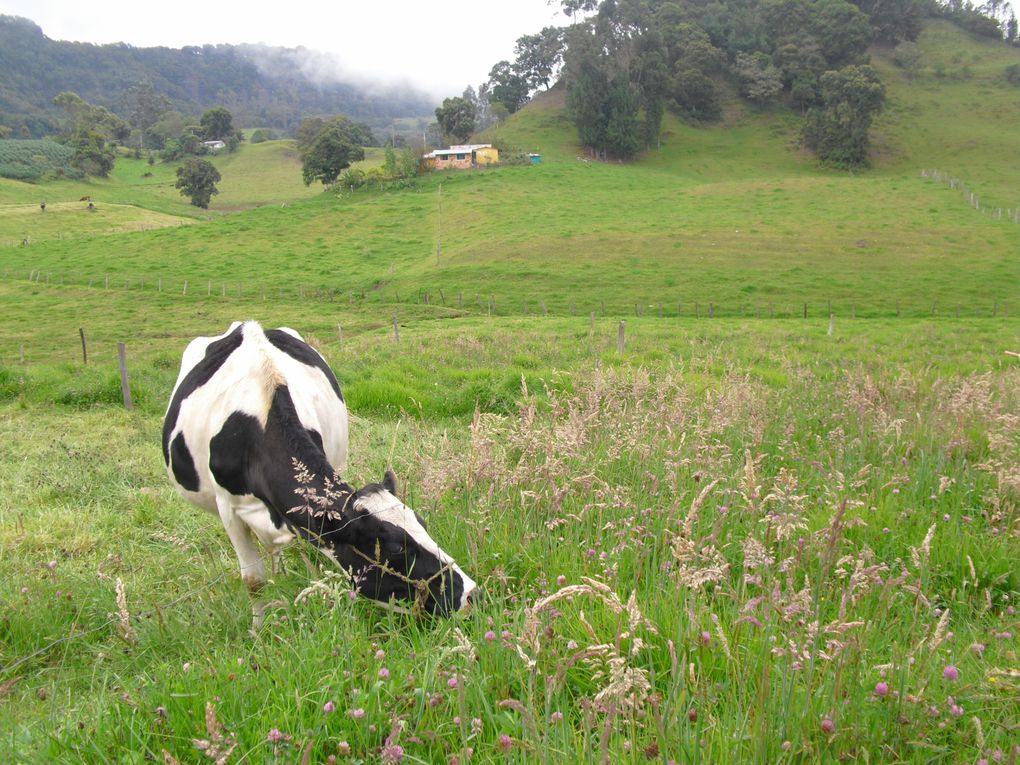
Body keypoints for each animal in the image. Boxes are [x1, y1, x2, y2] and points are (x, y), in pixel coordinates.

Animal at [161, 320, 475, 624]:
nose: (471, 594)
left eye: (422, 523)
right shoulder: (228, 509)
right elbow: (253, 581)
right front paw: (258, 630)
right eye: (396, 548)